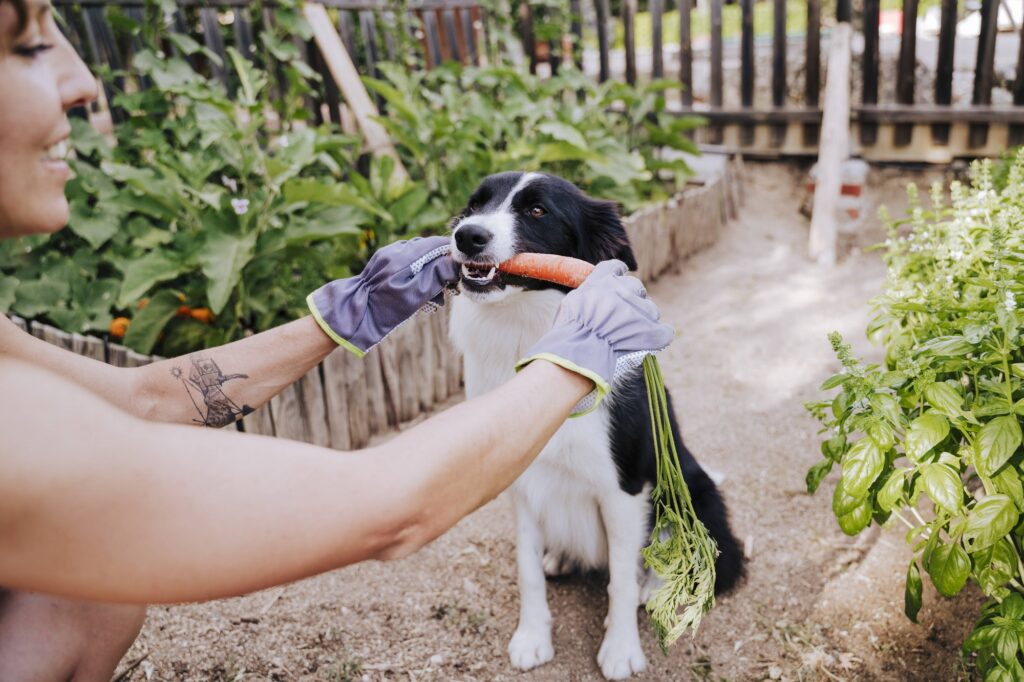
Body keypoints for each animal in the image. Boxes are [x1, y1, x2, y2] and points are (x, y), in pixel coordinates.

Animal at [444, 173, 741, 675]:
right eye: (474, 205)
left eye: (538, 211)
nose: (467, 235)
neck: (529, 332)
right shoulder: (521, 481)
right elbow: (526, 569)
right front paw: (532, 637)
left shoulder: (623, 488)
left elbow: (620, 579)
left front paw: (621, 650)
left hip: (691, 494)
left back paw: (654, 587)